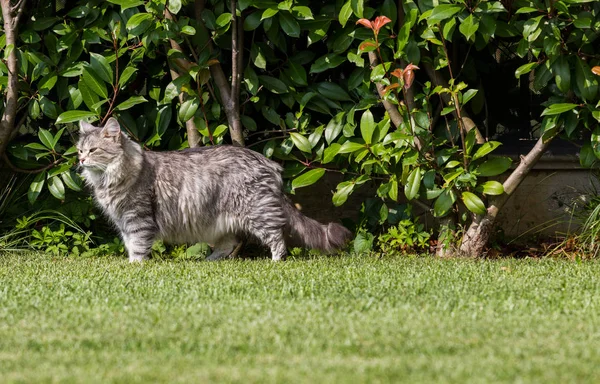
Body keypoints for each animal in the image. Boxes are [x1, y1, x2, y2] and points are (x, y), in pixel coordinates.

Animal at [77, 117, 354, 260]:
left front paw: (135, 267)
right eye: (80, 150)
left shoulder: (138, 219)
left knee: (277, 238)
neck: (109, 180)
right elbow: (129, 245)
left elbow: (137, 247)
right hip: (221, 220)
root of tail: (267, 162)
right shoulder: (124, 222)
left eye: (93, 150)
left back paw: (276, 262)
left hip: (257, 213)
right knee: (229, 244)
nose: (80, 160)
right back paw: (208, 262)